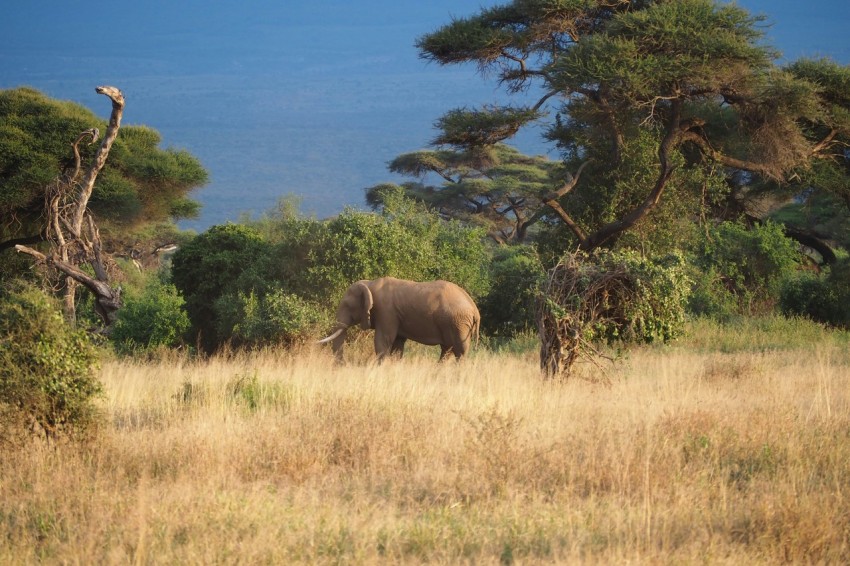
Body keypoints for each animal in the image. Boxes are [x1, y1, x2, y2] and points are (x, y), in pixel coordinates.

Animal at [316, 278, 476, 364]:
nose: (344, 365)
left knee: (458, 351)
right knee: (447, 350)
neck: (370, 284)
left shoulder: (386, 312)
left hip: (459, 323)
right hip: (456, 323)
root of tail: (474, 308)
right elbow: (397, 345)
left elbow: (383, 341)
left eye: (348, 306)